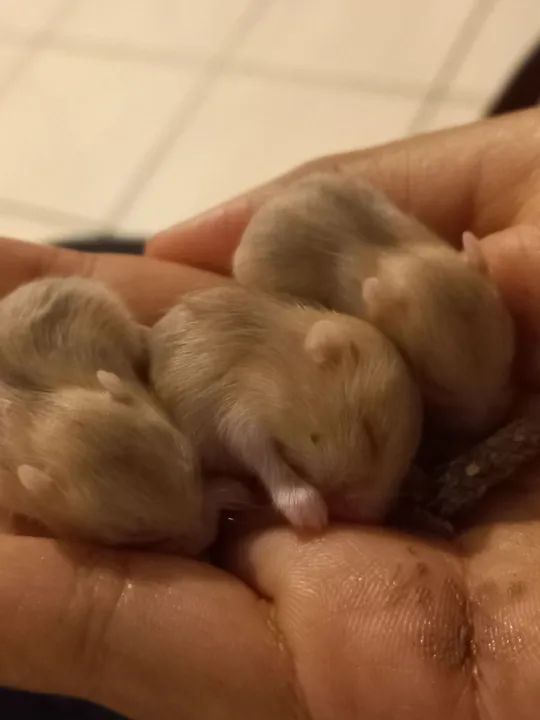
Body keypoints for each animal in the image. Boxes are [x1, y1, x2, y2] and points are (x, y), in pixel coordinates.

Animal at [149, 284, 422, 531]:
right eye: (370, 433)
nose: (370, 518)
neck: (287, 367)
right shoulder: (244, 407)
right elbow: (259, 453)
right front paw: (312, 514)